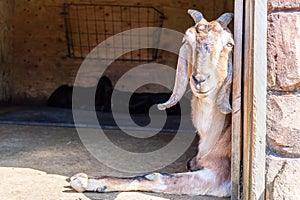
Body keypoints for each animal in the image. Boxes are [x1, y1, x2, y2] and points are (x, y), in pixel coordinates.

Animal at [69, 9, 233, 197]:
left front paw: (86, 181)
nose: (200, 80)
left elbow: (157, 177)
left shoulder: (218, 176)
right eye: (187, 41)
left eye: (229, 44)